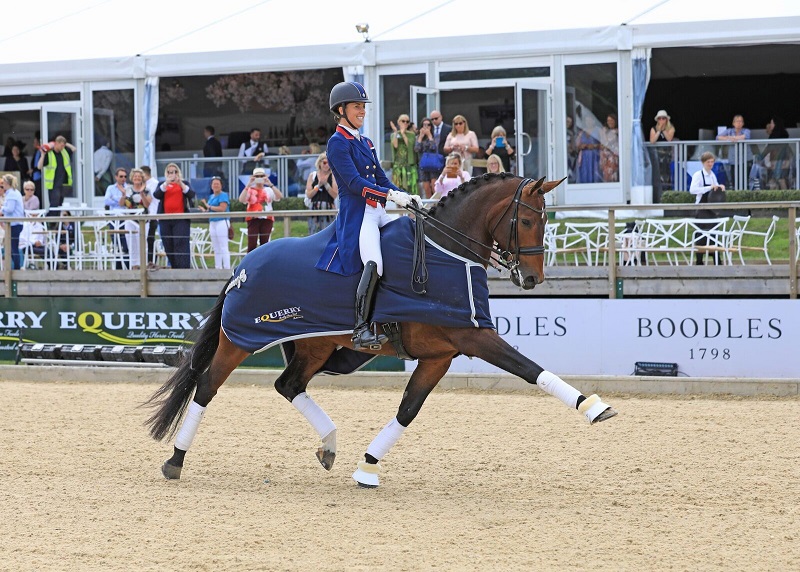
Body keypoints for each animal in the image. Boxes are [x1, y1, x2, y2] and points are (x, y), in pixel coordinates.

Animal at [145, 173, 620, 488]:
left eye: (545, 220)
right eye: (525, 221)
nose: (532, 278)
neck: (446, 251)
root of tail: (242, 267)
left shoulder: (439, 355)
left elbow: (408, 409)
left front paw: (367, 466)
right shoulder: (474, 337)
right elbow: (528, 367)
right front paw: (593, 406)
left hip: (316, 345)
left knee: (288, 384)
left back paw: (330, 444)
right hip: (241, 339)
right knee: (207, 386)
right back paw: (176, 460)